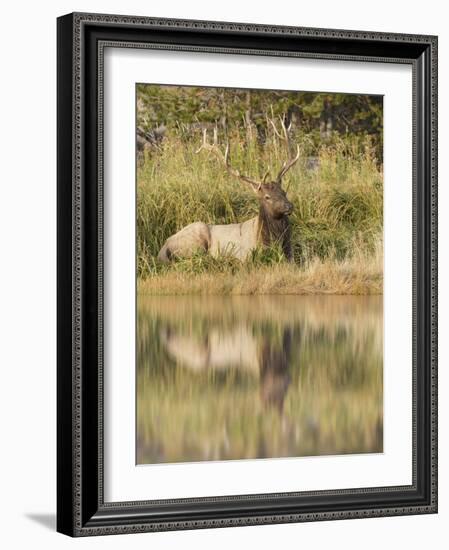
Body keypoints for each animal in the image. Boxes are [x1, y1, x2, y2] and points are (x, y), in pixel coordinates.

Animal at [156, 122, 300, 264]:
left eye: (284, 192)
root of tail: (163, 248)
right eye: (267, 197)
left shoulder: (291, 253)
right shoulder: (245, 255)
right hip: (195, 240)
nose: (289, 206)